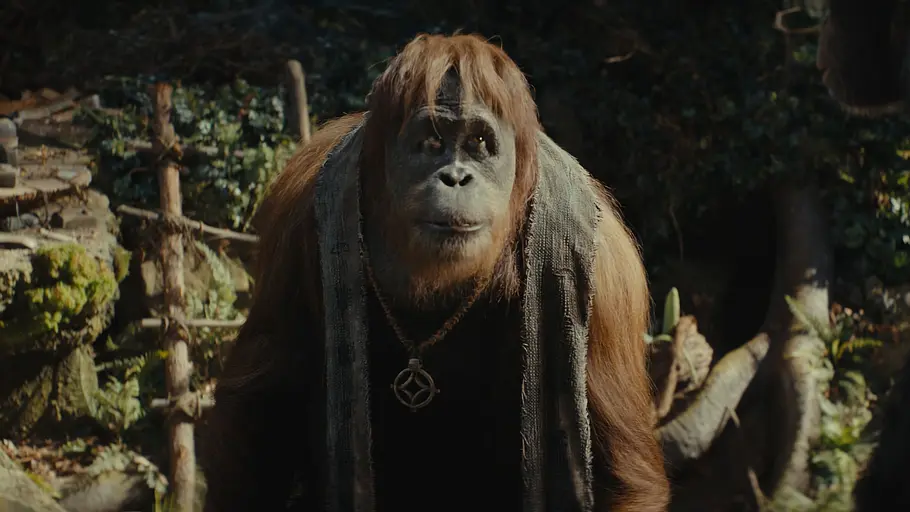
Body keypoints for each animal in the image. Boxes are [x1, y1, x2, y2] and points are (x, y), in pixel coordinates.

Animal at [200, 33, 669, 512]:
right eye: (431, 143)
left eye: (479, 143)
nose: (456, 177)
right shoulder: (296, 214)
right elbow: (260, 403)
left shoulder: (608, 272)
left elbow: (621, 474)